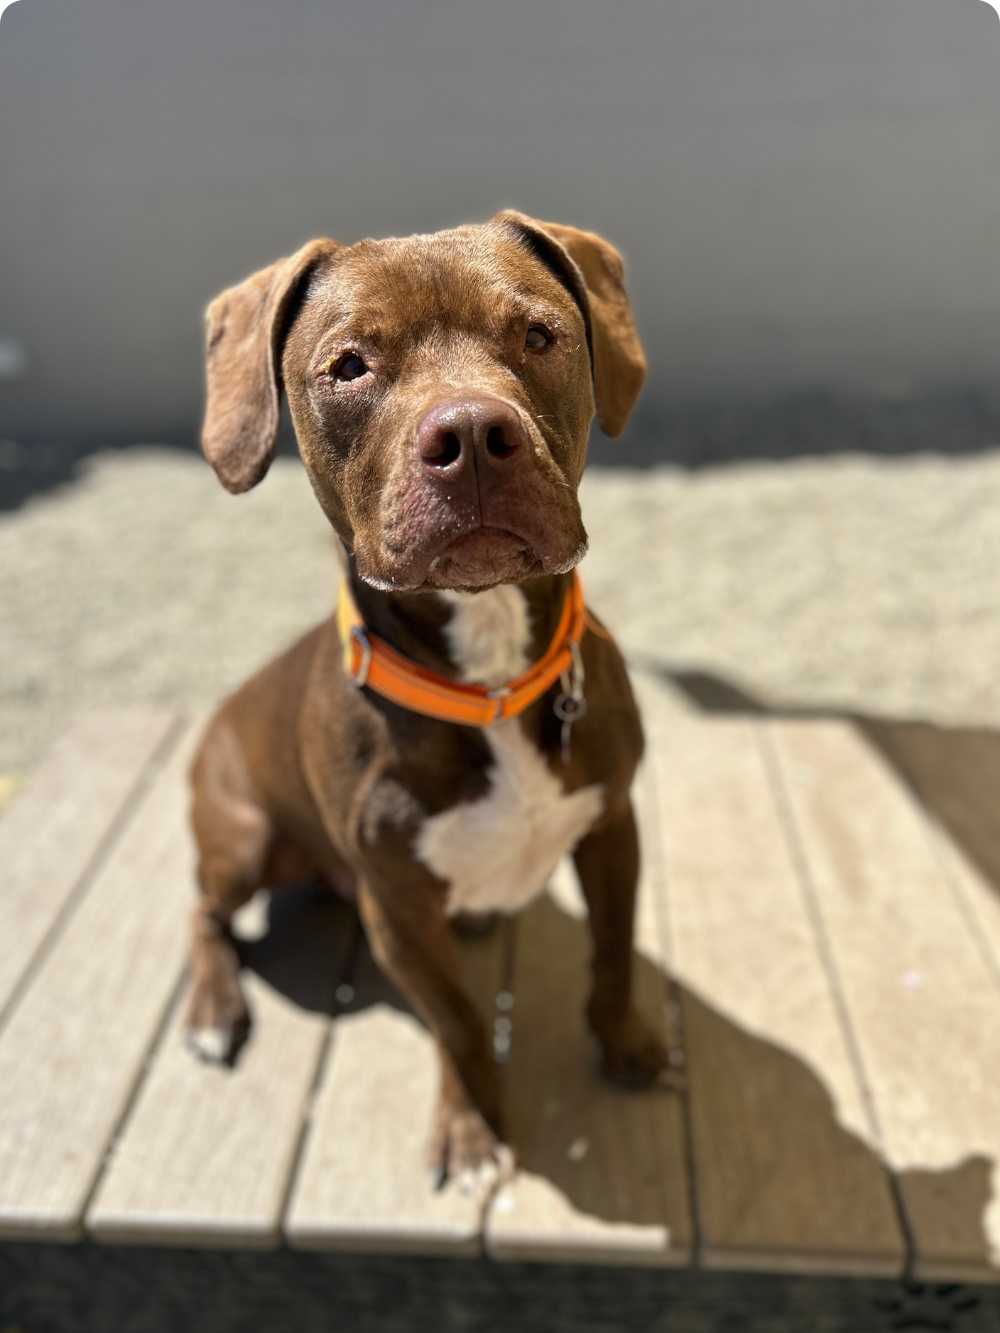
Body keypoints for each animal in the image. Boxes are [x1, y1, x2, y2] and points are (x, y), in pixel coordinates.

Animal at [186, 211, 670, 1185]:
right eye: (349, 366)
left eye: (539, 335)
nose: (475, 432)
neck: (489, 680)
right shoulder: (398, 911)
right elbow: (456, 1020)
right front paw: (472, 1125)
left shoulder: (611, 824)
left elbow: (611, 953)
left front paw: (625, 1041)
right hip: (241, 835)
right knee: (203, 909)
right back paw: (214, 1009)